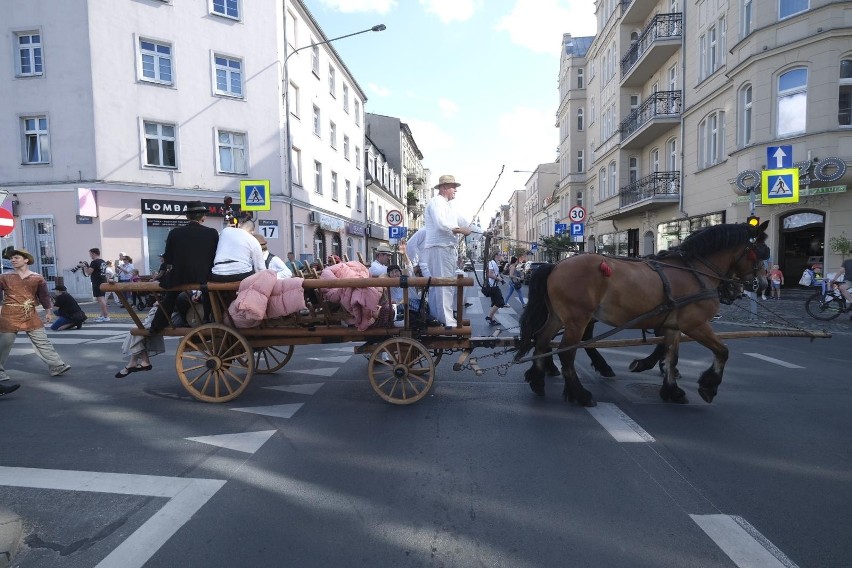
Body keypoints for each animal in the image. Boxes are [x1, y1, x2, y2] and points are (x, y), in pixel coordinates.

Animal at [512, 220, 772, 406]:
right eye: (760, 252)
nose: (760, 284)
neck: (694, 270)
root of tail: (556, 265)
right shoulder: (695, 325)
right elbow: (722, 351)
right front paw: (708, 386)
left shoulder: (673, 326)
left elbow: (670, 356)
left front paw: (672, 390)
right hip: (577, 319)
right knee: (567, 352)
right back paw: (580, 393)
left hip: (559, 316)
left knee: (542, 340)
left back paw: (538, 380)